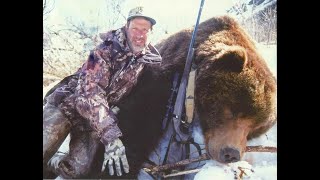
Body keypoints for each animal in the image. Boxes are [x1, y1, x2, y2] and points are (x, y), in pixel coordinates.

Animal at [43, 14, 276, 179]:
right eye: (233, 109)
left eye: (255, 127)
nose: (231, 153)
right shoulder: (161, 79)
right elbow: (133, 129)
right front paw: (111, 169)